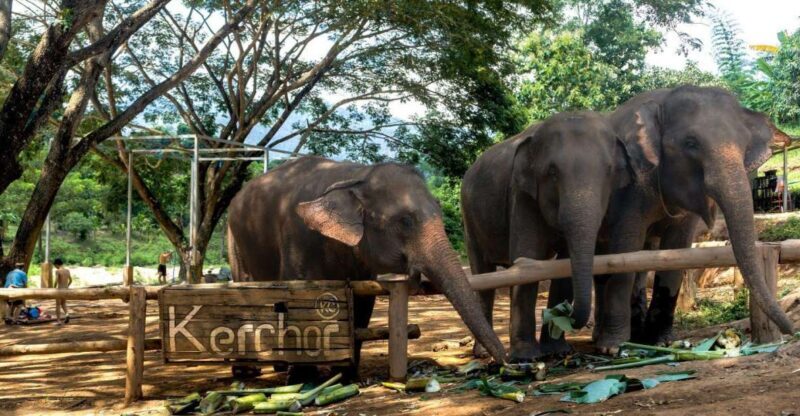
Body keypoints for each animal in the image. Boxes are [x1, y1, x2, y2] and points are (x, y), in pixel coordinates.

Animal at [227, 156, 508, 371]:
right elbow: (296, 302)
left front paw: (345, 375)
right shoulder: (298, 238)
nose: (509, 363)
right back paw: (248, 370)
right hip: (234, 240)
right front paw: (306, 380)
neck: (355, 177)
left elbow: (361, 306)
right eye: (405, 221)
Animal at [461, 111, 633, 361]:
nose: (566, 313)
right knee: (483, 276)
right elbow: (527, 258)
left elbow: (563, 267)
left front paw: (558, 351)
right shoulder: (521, 196)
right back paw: (483, 353)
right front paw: (526, 357)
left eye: (609, 171)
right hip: (469, 219)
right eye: (552, 173)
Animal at [592, 85, 795, 352]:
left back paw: (637, 336)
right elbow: (625, 248)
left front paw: (663, 341)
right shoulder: (630, 187)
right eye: (690, 143)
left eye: (744, 144)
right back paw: (603, 339)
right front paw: (613, 348)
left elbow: (675, 250)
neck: (663, 100)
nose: (791, 332)